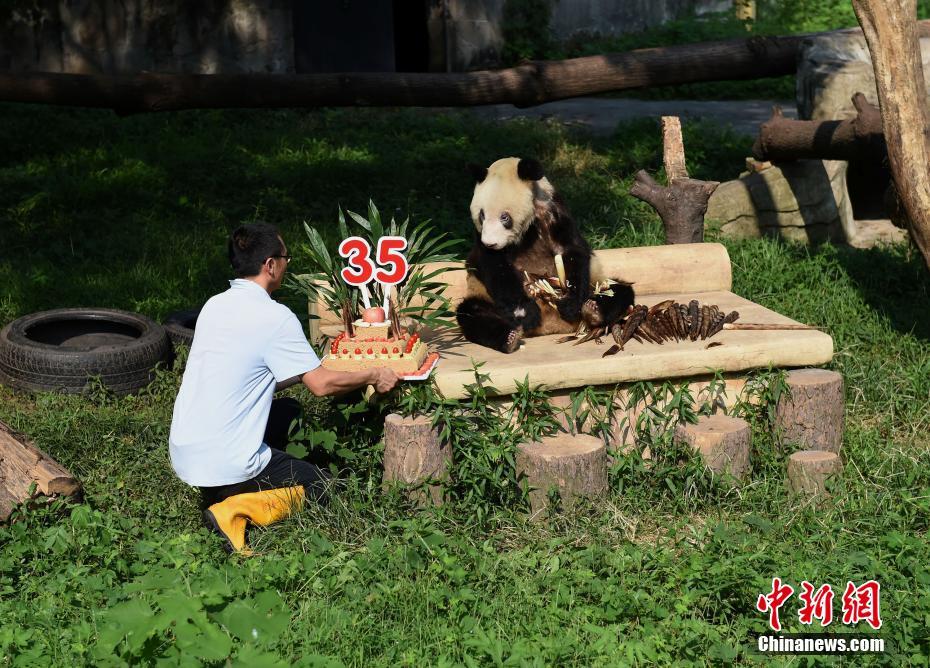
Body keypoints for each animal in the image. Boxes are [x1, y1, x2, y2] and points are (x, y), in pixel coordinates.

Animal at [454, 157, 636, 354]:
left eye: (504, 217)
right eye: (481, 215)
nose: (490, 243)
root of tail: (551, 326)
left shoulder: (554, 211)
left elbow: (571, 252)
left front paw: (569, 304)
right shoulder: (481, 240)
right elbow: (495, 267)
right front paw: (525, 312)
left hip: (596, 283)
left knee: (619, 291)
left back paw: (593, 309)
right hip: (484, 296)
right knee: (472, 313)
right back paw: (510, 337)